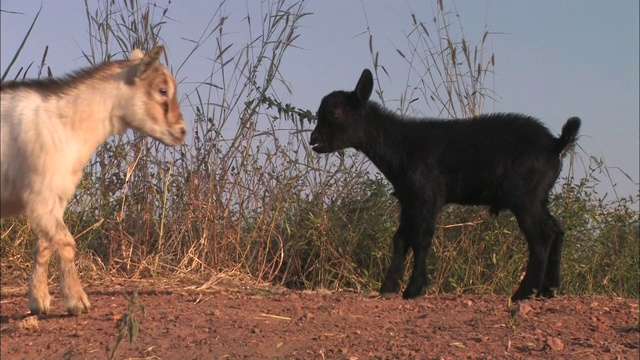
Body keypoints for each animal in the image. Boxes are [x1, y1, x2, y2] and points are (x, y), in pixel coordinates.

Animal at [0, 45, 186, 316]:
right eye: (162, 90)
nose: (181, 131)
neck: (66, 122)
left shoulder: (54, 197)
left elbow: (44, 247)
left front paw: (39, 301)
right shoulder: (41, 195)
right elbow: (66, 243)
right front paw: (77, 301)